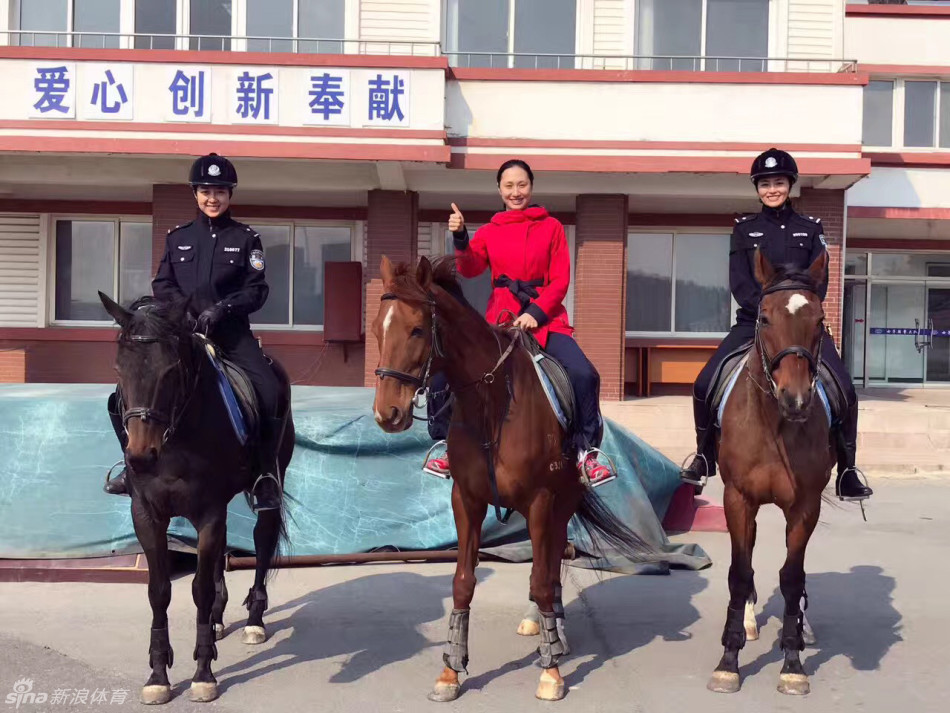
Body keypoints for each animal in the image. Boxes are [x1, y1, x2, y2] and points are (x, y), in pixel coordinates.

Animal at [98, 293, 295, 705]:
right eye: (119, 369)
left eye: (171, 371)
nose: (140, 457)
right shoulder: (147, 514)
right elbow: (159, 591)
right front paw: (158, 675)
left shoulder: (208, 512)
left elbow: (199, 589)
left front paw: (204, 674)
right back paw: (219, 620)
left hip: (271, 480)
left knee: (263, 540)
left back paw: (254, 620)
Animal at [370, 256, 655, 702]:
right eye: (376, 326)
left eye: (416, 329)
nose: (388, 414)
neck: (492, 402)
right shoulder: (466, 500)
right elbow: (463, 582)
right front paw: (451, 670)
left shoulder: (540, 500)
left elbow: (541, 576)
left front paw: (551, 670)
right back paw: (541, 621)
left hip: (563, 499)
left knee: (552, 559)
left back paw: (554, 631)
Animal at [707, 248, 833, 696]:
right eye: (763, 317)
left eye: (820, 320)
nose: (795, 399)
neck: (775, 424)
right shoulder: (737, 499)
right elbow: (738, 571)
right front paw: (728, 660)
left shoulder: (806, 506)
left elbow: (792, 577)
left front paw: (793, 662)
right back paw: (746, 620)